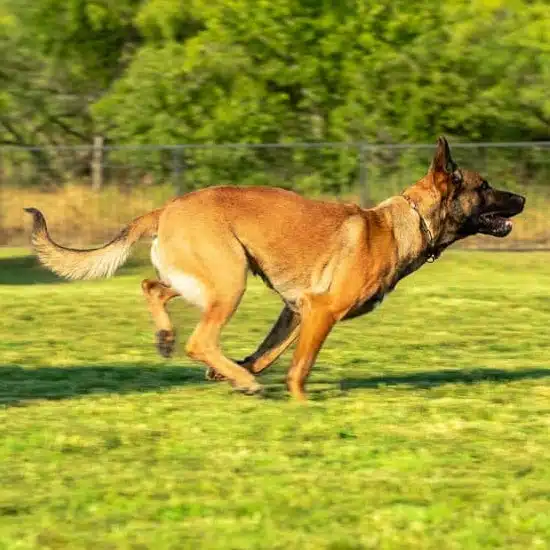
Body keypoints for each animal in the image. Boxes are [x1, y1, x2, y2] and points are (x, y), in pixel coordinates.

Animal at [24, 138, 528, 402]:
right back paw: (234, 375)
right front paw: (298, 401)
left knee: (153, 287)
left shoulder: (298, 310)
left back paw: (177, 344)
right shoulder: (321, 312)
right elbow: (298, 366)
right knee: (199, 339)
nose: (523, 198)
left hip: (208, 280)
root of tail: (168, 207)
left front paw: (234, 372)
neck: (399, 225)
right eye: (484, 187)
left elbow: (268, 352)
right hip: (230, 281)